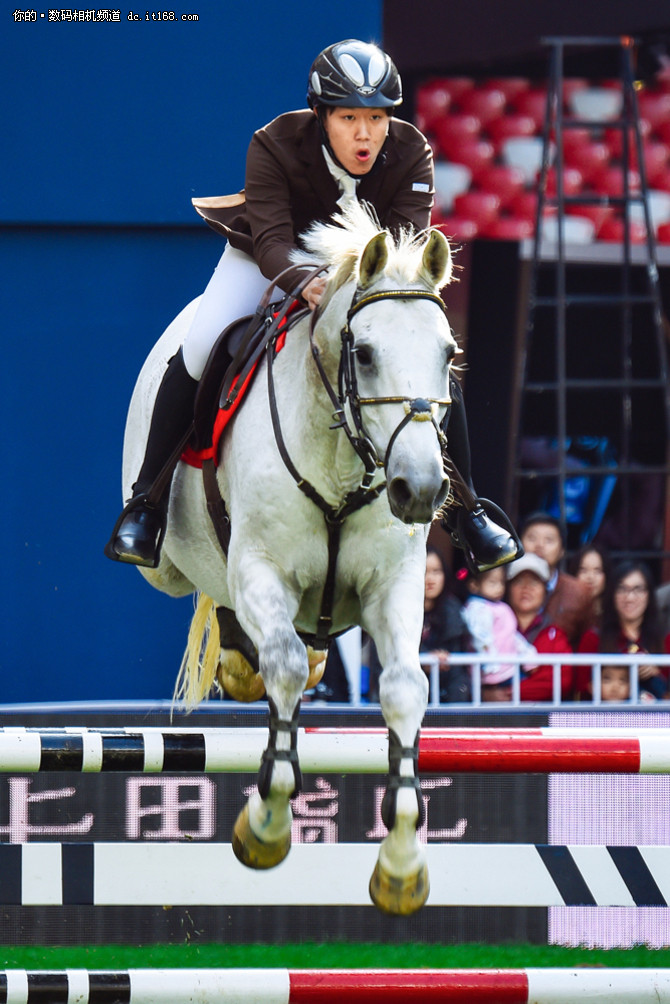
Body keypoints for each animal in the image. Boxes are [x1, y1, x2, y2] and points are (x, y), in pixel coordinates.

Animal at [122, 199, 456, 915]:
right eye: (365, 352)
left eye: (449, 354)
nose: (419, 491)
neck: (342, 458)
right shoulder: (260, 570)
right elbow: (284, 668)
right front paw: (267, 826)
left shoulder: (396, 585)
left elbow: (404, 689)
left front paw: (402, 867)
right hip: (165, 565)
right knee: (210, 593)